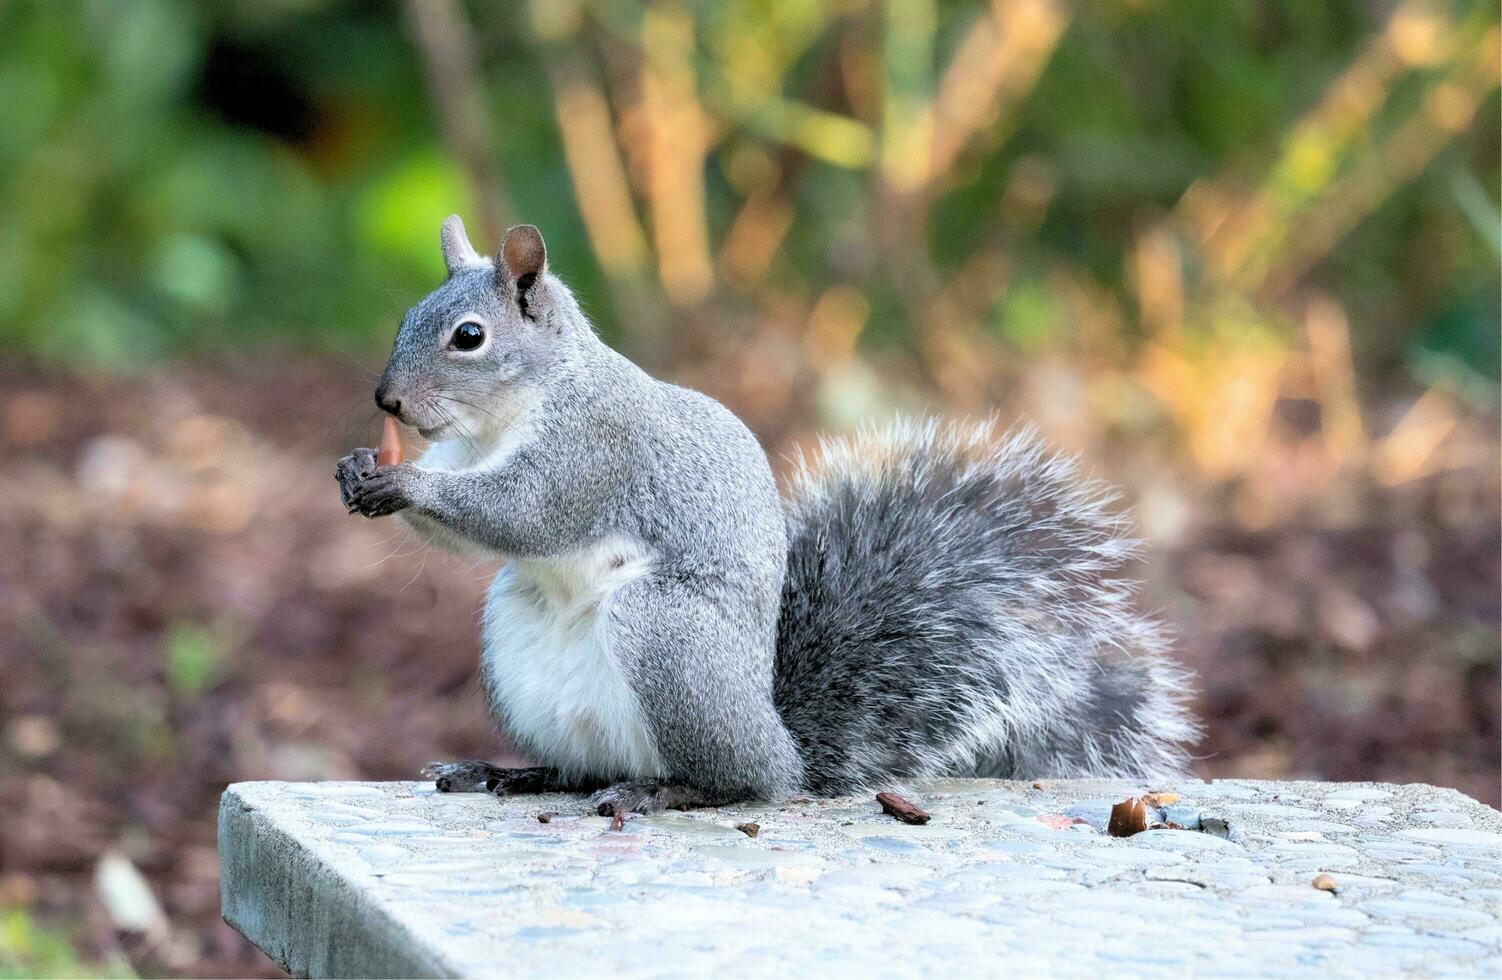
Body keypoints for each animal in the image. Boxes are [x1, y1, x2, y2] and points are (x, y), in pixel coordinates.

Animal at [331, 217, 1195, 817]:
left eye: (469, 337)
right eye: (408, 316)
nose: (387, 401)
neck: (507, 418)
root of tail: (786, 746)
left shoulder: (595, 450)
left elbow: (527, 515)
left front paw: (403, 483)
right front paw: (361, 470)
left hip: (667, 637)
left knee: (736, 782)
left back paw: (669, 792)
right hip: (519, 641)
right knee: (590, 767)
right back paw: (513, 773)